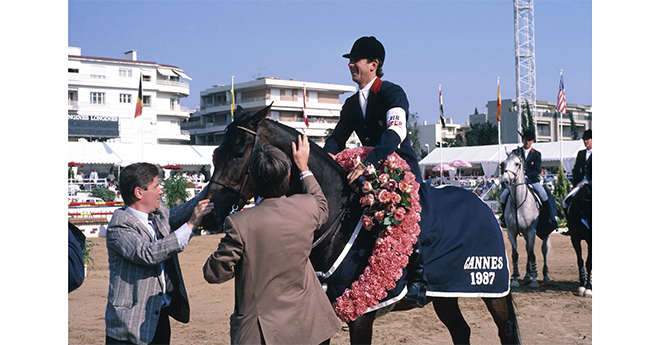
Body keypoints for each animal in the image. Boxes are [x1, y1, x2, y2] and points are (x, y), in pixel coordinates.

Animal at [205, 105, 520, 344]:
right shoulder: (325, 308)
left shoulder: (361, 319)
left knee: (505, 330)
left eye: (237, 153)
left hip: (493, 291)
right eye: (214, 154)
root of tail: (484, 205)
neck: (335, 219)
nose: (209, 213)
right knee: (460, 330)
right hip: (445, 293)